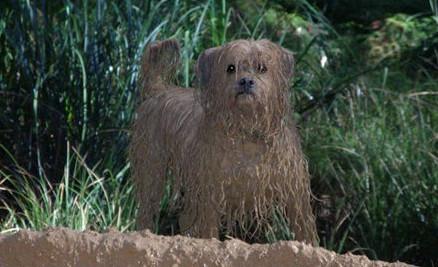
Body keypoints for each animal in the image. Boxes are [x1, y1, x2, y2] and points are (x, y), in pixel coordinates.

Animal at [130, 38, 318, 246]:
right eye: (230, 68)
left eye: (262, 68)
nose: (245, 81)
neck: (247, 132)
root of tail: (159, 89)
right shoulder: (211, 192)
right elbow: (209, 229)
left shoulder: (295, 193)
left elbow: (304, 228)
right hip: (152, 170)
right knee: (147, 210)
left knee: (185, 217)